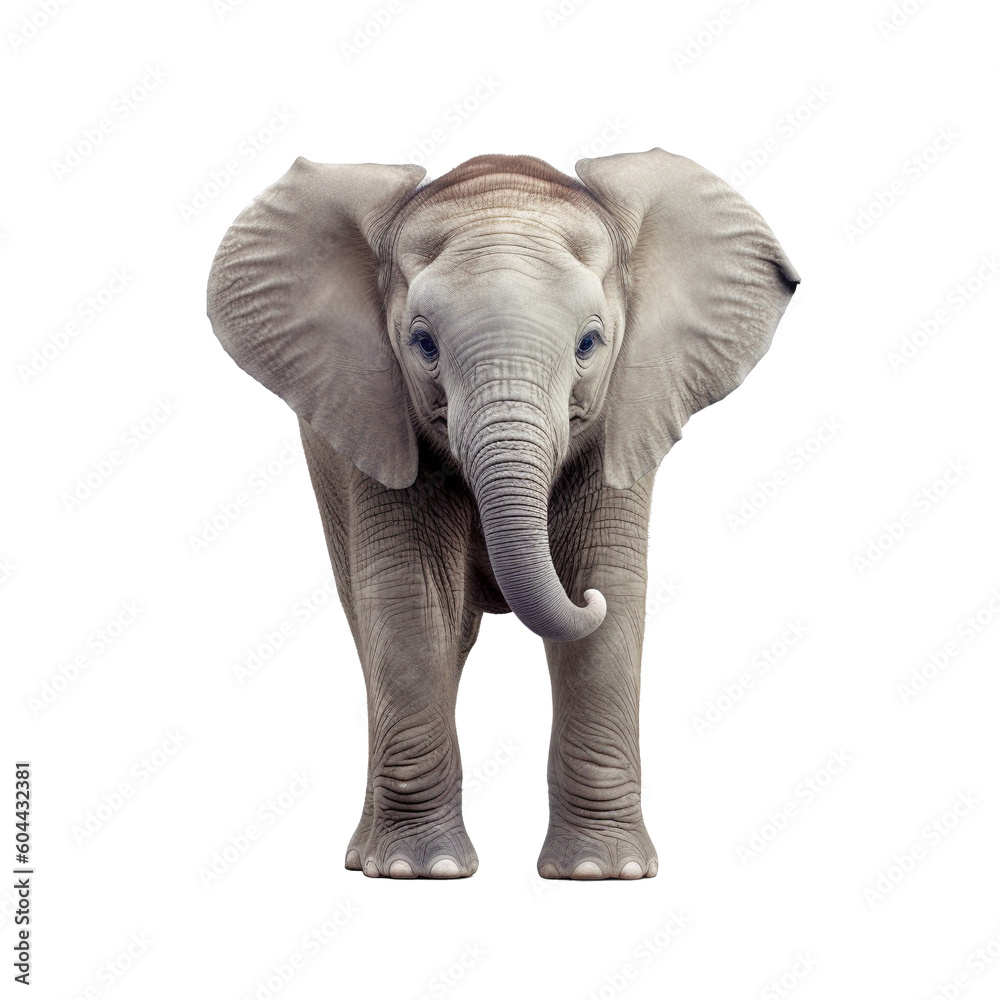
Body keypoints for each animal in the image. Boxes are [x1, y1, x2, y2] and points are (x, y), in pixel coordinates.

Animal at [207, 148, 798, 880]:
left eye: (590, 343)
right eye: (423, 344)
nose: (582, 603)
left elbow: (609, 585)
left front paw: (601, 875)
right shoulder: (377, 415)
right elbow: (412, 601)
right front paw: (421, 871)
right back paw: (362, 858)